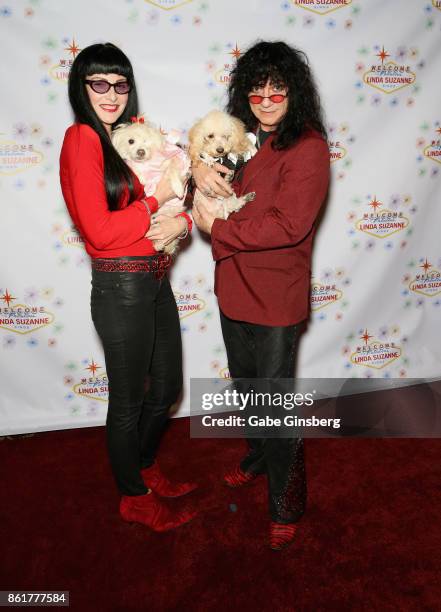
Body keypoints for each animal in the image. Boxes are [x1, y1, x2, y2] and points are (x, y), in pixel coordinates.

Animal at [111, 117, 190, 253]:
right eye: (131, 141)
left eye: (146, 141)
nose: (141, 151)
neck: (146, 163)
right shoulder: (132, 164)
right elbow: (132, 167)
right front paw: (142, 177)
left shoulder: (171, 161)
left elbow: (172, 170)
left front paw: (179, 189)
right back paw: (158, 244)